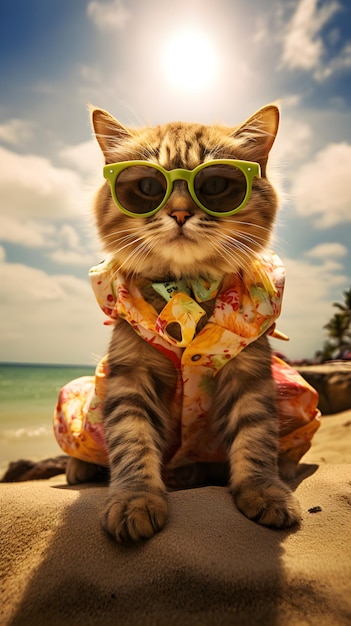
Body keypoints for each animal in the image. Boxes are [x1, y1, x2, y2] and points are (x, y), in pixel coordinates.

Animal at [66, 103, 302, 540]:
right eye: (147, 187)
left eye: (214, 186)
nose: (179, 213)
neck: (187, 289)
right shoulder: (130, 375)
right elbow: (132, 441)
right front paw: (135, 501)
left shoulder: (249, 374)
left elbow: (255, 436)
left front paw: (264, 491)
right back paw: (78, 467)